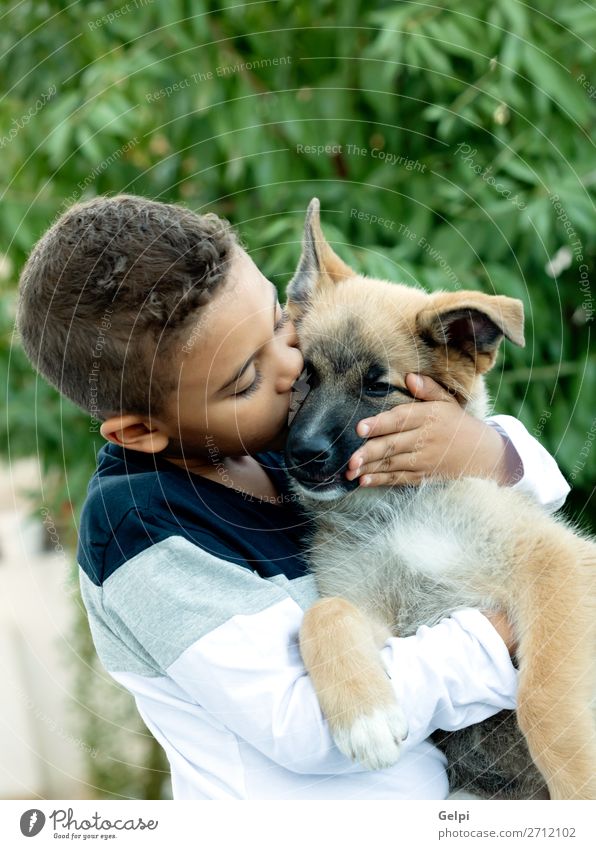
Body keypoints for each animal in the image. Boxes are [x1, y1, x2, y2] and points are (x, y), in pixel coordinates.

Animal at [284, 200, 596, 800]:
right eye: (303, 375)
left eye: (377, 386)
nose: (301, 455)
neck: (395, 515)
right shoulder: (374, 616)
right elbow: (323, 614)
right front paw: (366, 717)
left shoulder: (558, 563)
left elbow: (543, 697)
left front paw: (577, 783)